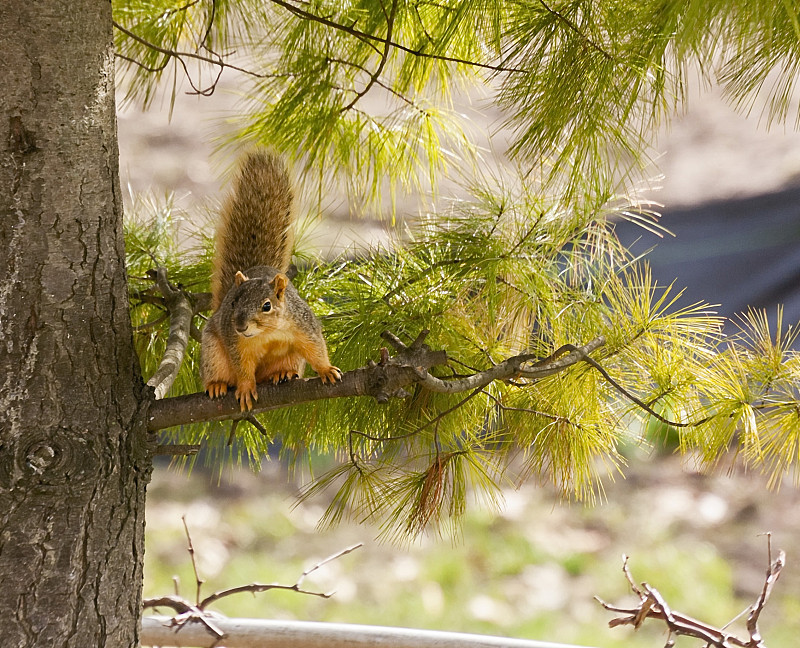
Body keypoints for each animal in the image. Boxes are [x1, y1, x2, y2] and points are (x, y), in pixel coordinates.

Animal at [200, 151, 340, 410]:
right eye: (233, 303)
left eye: (267, 306)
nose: (240, 326)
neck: (266, 333)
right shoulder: (236, 343)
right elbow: (243, 369)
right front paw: (246, 387)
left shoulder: (303, 325)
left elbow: (316, 348)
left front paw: (326, 370)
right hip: (212, 351)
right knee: (219, 371)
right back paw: (216, 384)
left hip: (292, 358)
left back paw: (282, 373)